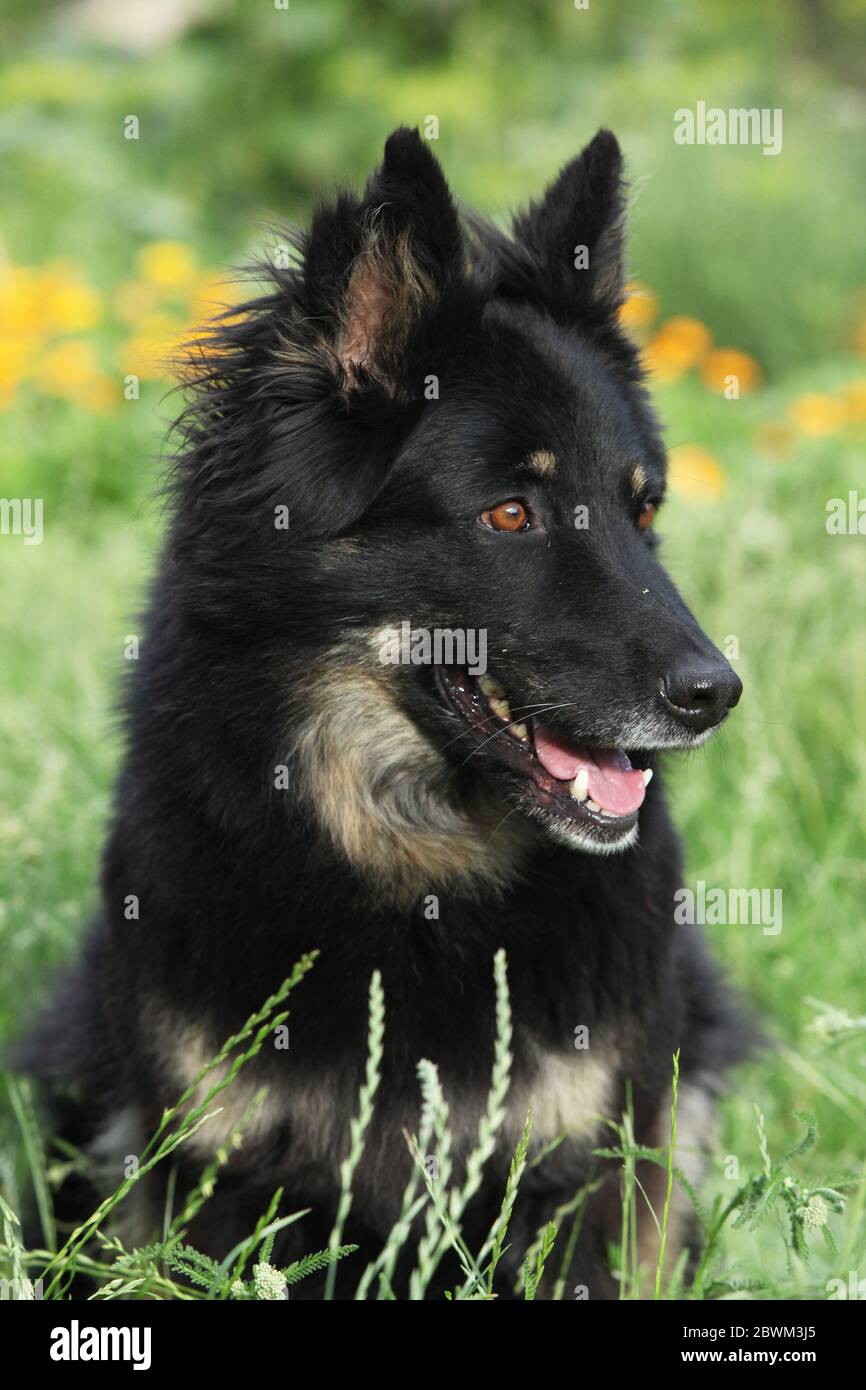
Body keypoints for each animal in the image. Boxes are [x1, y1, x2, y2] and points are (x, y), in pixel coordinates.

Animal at [18, 130, 750, 1301]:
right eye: (511, 513)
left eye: (642, 509)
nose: (714, 693)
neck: (417, 878)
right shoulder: (218, 1185)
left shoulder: (583, 1184)